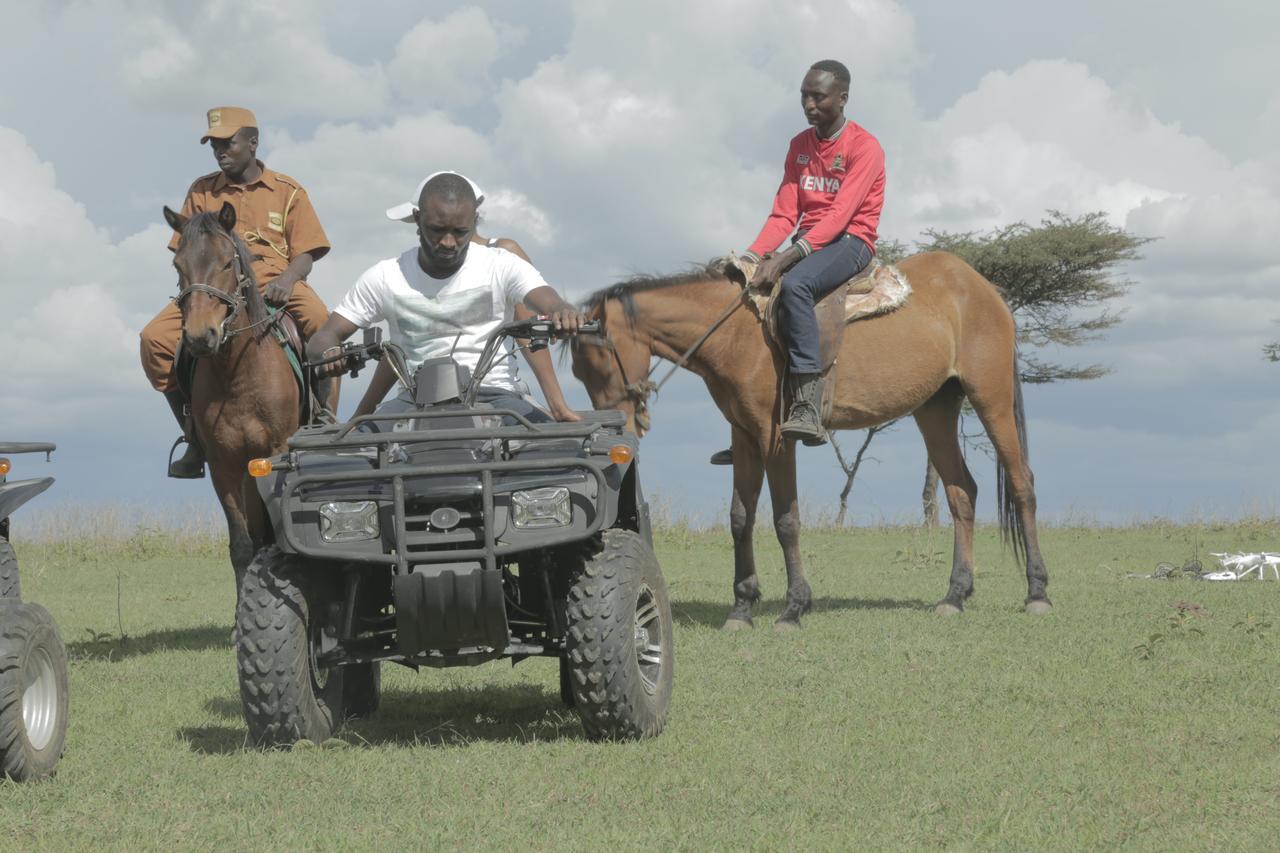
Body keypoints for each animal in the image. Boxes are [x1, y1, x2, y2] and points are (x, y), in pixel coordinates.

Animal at [162, 202, 302, 594]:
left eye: (227, 263)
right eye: (178, 265)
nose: (199, 336)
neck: (238, 376)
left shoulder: (275, 454)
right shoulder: (223, 464)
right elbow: (242, 544)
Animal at [570, 249, 1049, 627]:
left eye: (600, 362)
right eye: (579, 371)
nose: (618, 431)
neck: (737, 331)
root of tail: (980, 284)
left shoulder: (775, 438)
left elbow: (786, 520)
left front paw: (794, 608)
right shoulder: (744, 436)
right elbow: (740, 517)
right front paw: (742, 608)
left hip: (991, 397)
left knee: (1022, 482)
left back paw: (1037, 592)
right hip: (935, 408)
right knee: (960, 492)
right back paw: (955, 595)